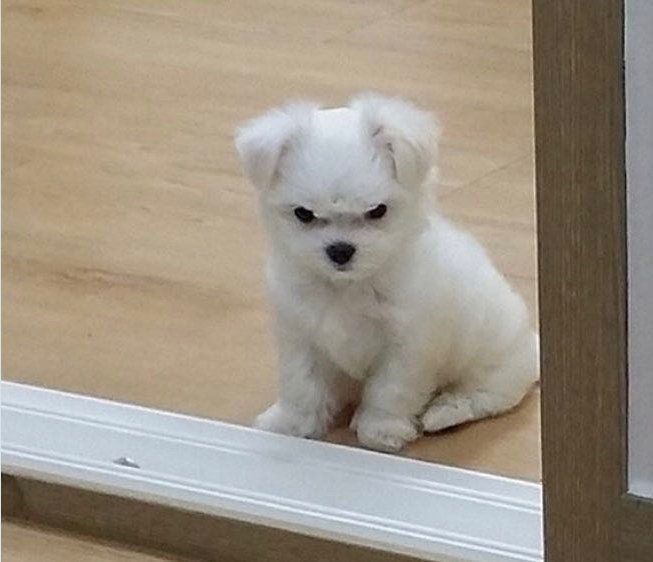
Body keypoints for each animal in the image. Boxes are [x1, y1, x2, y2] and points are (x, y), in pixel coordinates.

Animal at [233, 93, 536, 450]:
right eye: (304, 214)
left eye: (377, 211)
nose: (340, 250)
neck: (347, 287)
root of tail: (531, 344)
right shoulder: (300, 336)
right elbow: (302, 385)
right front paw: (292, 424)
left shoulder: (407, 346)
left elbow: (390, 390)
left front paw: (380, 431)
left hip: (492, 364)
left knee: (483, 396)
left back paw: (442, 413)